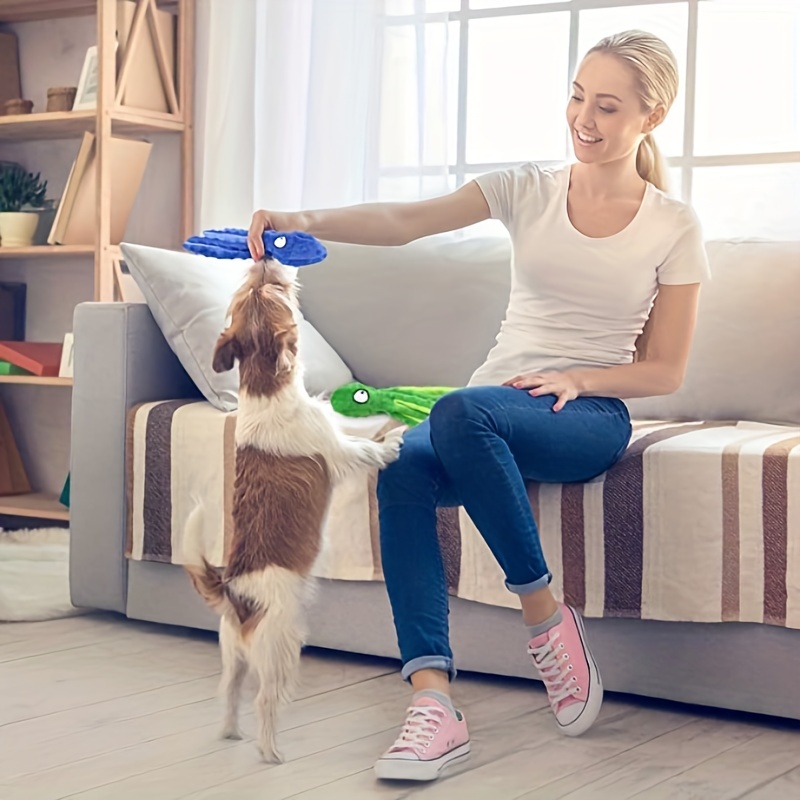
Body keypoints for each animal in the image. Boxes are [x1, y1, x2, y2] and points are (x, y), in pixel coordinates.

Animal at [185, 260, 404, 764]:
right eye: (274, 290)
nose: (263, 258)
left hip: (233, 654)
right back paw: (270, 752)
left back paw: (231, 733)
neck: (267, 391)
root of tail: (237, 596)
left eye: (247, 289)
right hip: (281, 648)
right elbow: (365, 449)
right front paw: (394, 440)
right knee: (265, 700)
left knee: (229, 692)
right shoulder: (338, 451)